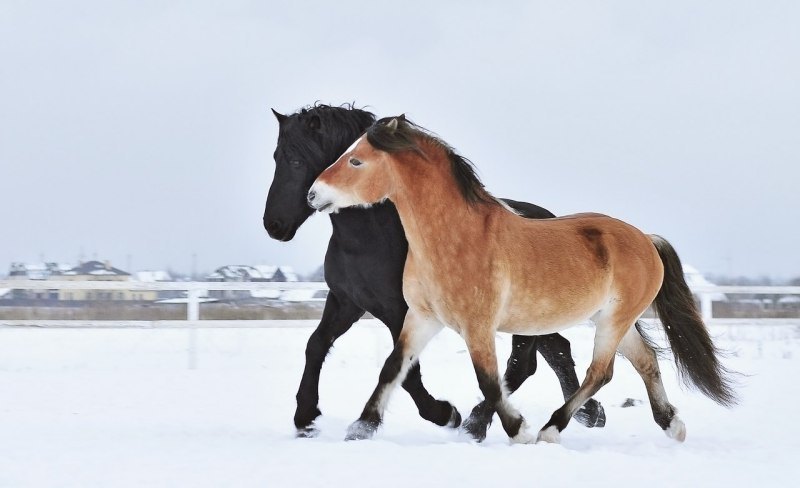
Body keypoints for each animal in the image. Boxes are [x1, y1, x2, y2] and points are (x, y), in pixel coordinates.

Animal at [266, 103, 604, 438]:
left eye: (296, 159)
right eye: (276, 157)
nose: (273, 224)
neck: (369, 240)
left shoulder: (399, 310)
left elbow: (409, 373)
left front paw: (444, 413)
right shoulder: (346, 302)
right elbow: (317, 345)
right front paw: (306, 417)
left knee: (523, 363)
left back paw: (476, 424)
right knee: (555, 349)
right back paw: (590, 413)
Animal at [308, 116, 736, 444]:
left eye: (356, 161)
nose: (313, 194)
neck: (454, 237)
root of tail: (646, 239)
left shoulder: (477, 326)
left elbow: (490, 382)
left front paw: (518, 430)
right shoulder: (421, 318)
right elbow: (393, 367)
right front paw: (361, 427)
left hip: (614, 322)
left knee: (600, 372)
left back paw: (551, 429)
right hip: (615, 321)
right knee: (645, 362)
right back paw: (673, 426)